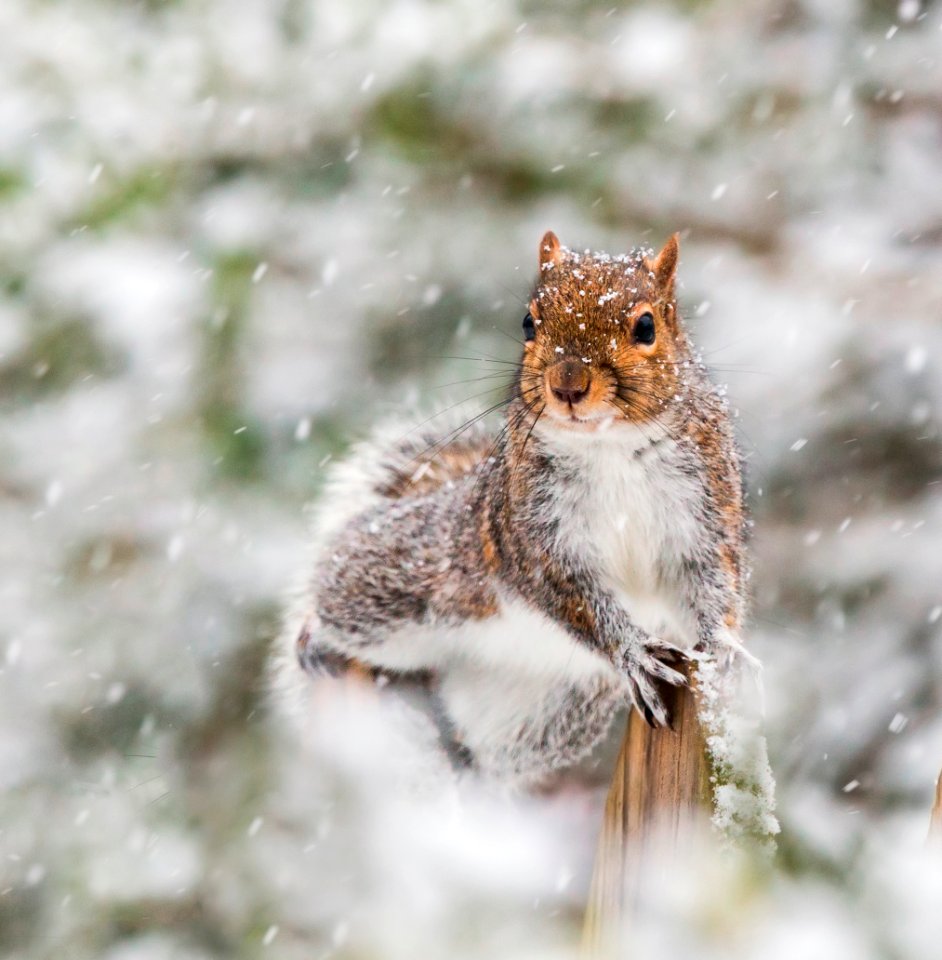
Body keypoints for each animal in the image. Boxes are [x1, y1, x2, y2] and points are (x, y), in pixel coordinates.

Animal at [276, 234, 748, 788]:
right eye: (528, 322)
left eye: (646, 326)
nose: (567, 384)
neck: (608, 444)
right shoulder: (531, 534)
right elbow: (573, 597)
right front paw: (634, 654)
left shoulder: (706, 513)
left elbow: (712, 585)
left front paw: (726, 650)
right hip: (403, 581)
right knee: (337, 593)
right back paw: (315, 639)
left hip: (544, 713)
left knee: (480, 746)